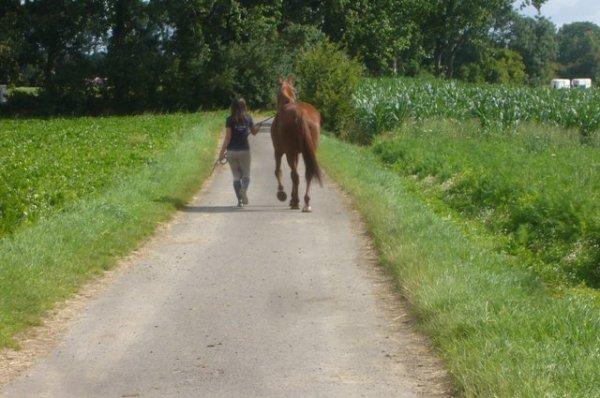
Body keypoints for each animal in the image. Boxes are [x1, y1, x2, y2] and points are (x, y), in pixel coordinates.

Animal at [270, 77, 322, 211]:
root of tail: (301, 113)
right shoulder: (297, 154)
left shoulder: (278, 152)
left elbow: (278, 171)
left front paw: (282, 194)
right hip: (308, 151)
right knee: (307, 174)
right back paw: (306, 203)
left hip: (289, 153)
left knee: (295, 175)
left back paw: (296, 202)